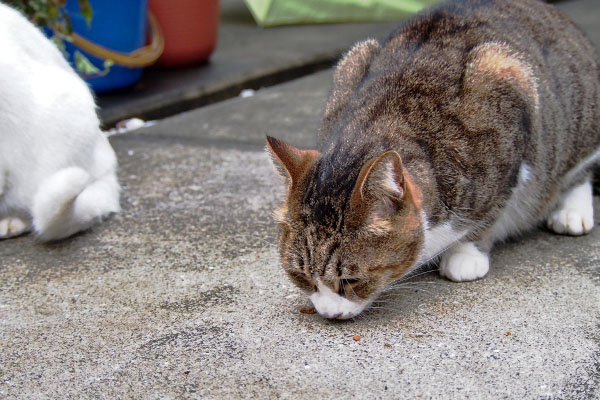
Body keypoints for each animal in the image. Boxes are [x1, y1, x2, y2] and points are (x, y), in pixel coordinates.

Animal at [268, 0, 600, 318]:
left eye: (350, 281)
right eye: (301, 277)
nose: (328, 313)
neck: (379, 125)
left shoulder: (508, 96)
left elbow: (488, 214)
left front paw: (466, 254)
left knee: (578, 171)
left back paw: (572, 212)